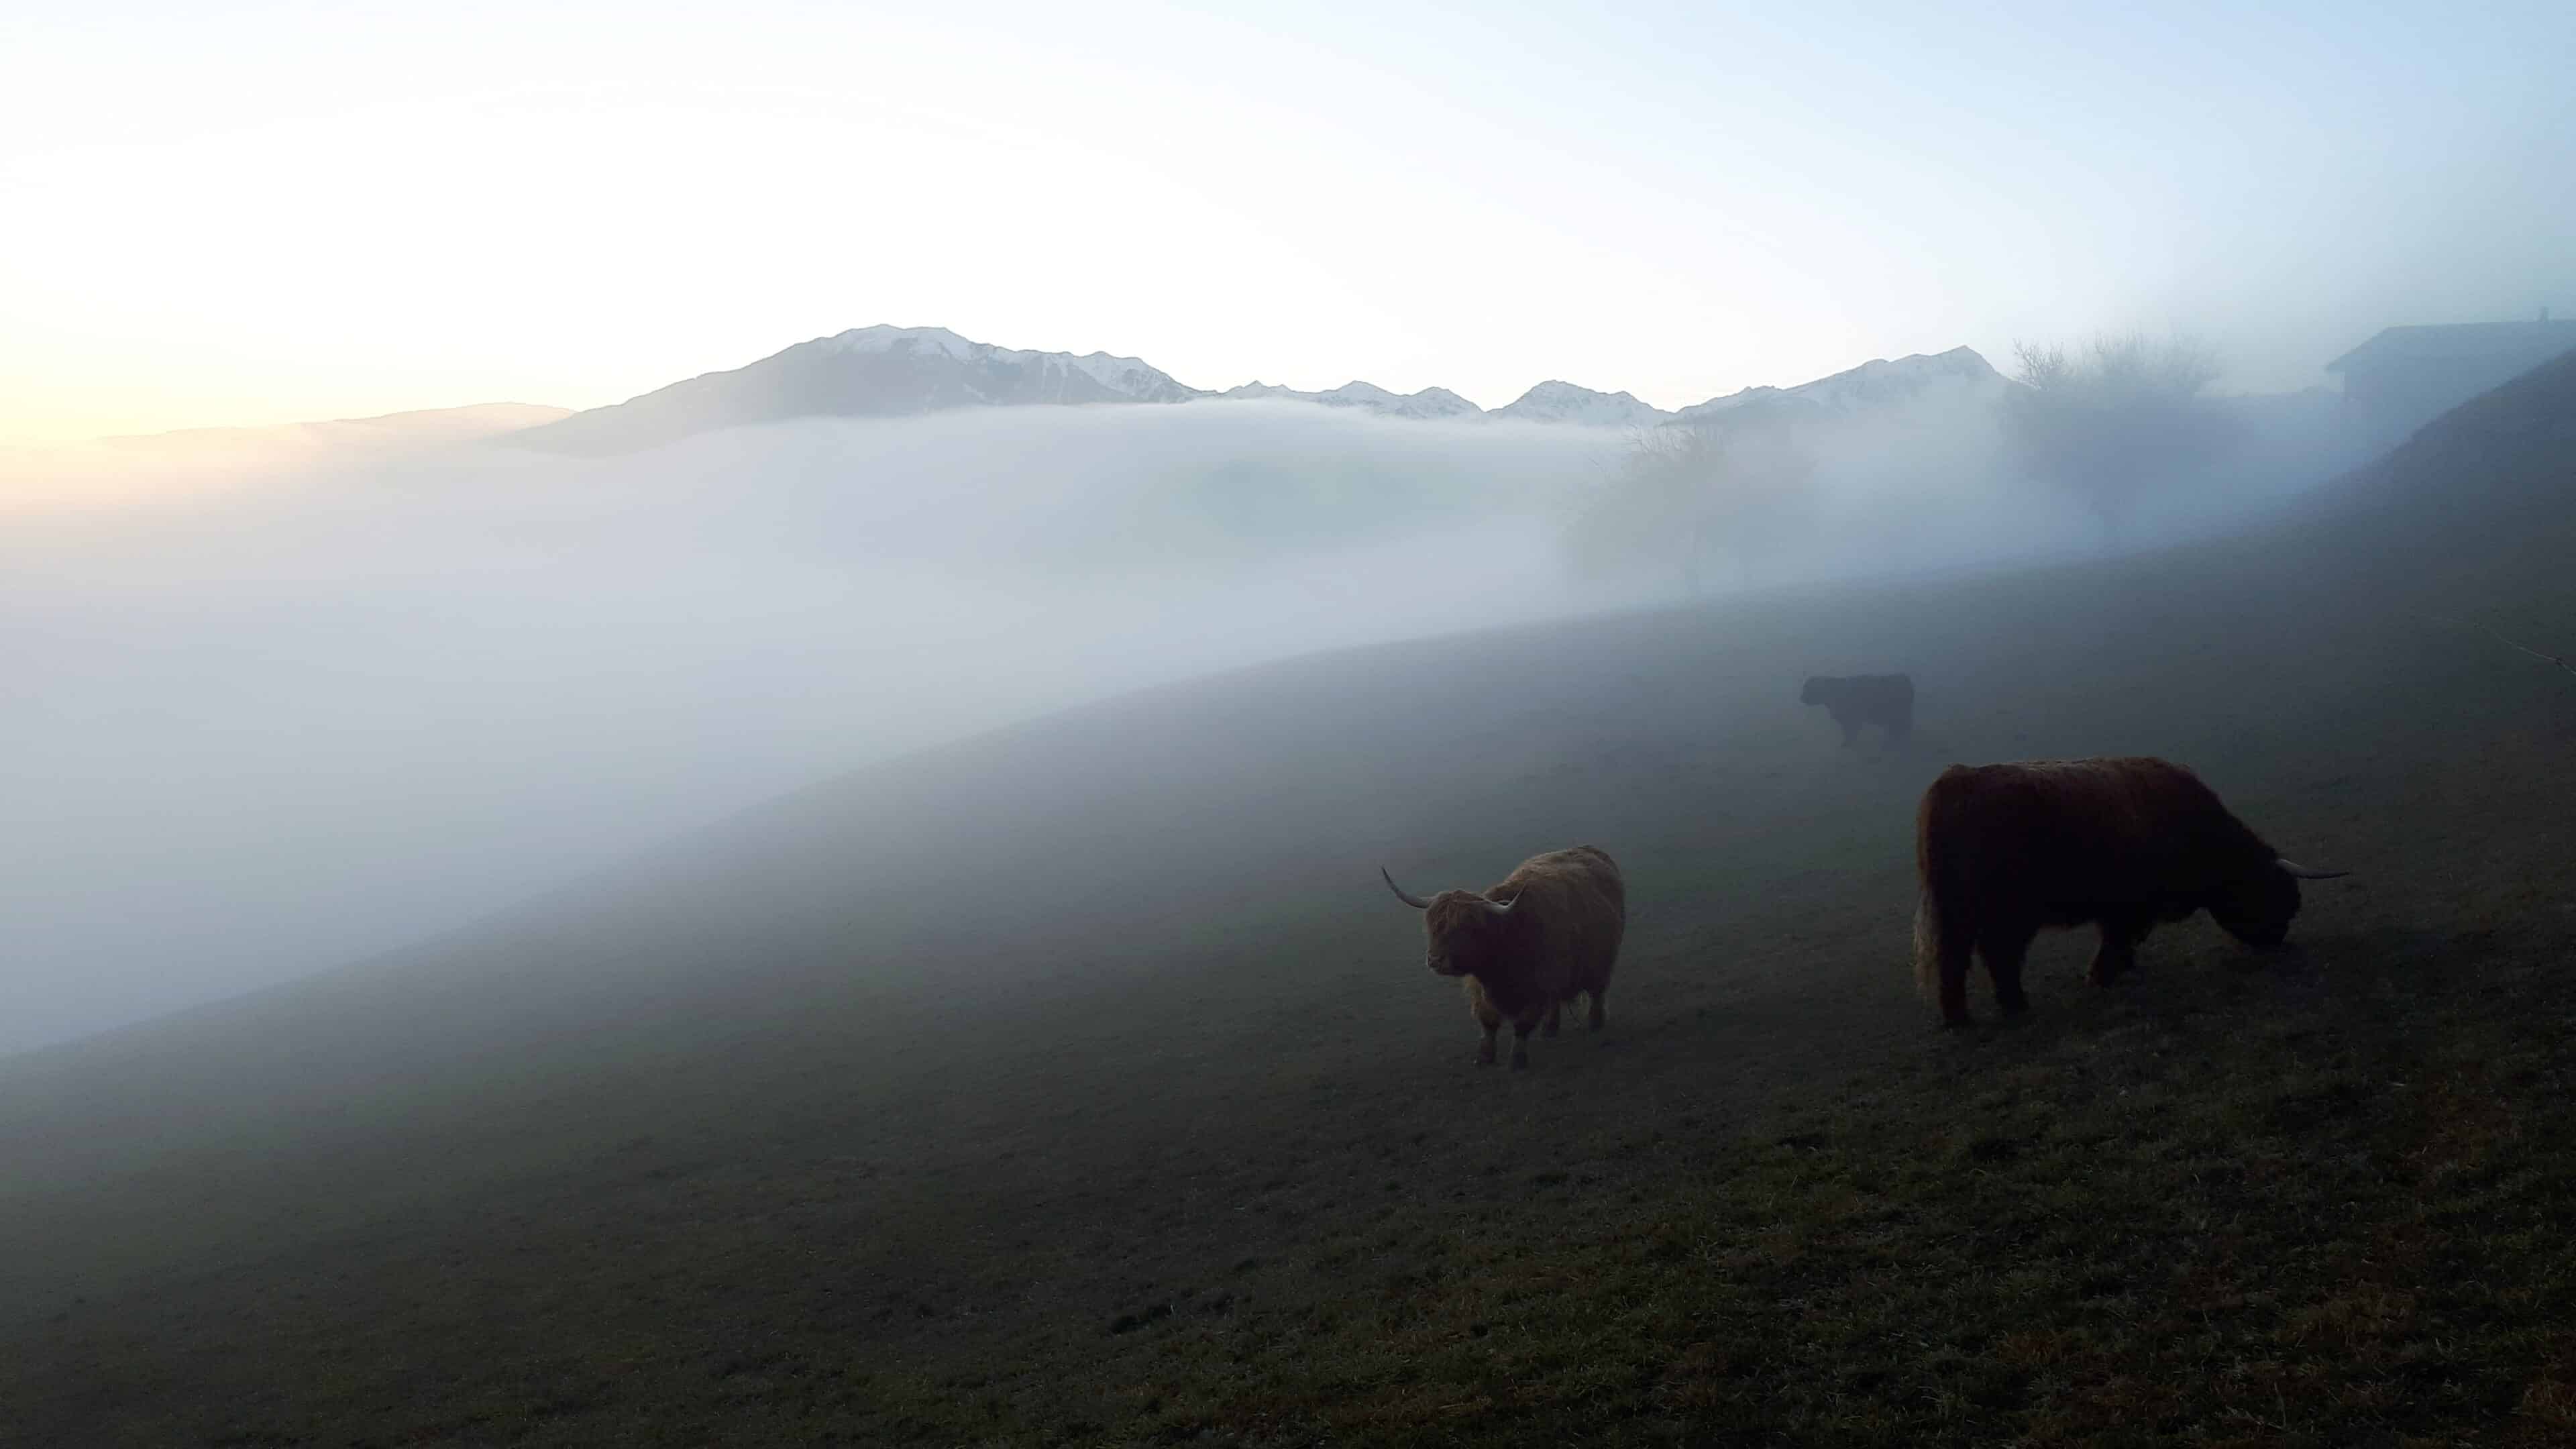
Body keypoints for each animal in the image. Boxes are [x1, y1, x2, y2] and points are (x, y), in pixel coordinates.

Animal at [1381, 846, 1626, 1069]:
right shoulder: (1481, 990)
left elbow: (1522, 1026)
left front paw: (1517, 1060)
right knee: (1557, 1001)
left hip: (1601, 964)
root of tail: (1590, 850)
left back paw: (1595, 1023)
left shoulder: (1538, 988)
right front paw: (1484, 1057)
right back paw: (1550, 1029)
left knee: (1597, 993)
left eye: (1465, 929)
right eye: (1432, 926)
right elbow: (1488, 1023)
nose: (1434, 960)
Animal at [1802, 673, 1914, 747]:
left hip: (1900, 715)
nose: (1801, 698)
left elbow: (1851, 733)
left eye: (1808, 687)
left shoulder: (1852, 720)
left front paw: (1847, 744)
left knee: (1901, 728)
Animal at [1912, 757, 2348, 1026]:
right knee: (1997, 955)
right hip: (2005, 911)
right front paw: (2101, 976)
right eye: (2280, 899)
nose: (2277, 939)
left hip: (1960, 911)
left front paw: (2123, 970)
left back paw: (1960, 1019)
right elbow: (2116, 941)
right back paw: (2015, 1006)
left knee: (1955, 959)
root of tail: (1956, 781)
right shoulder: (2130, 905)